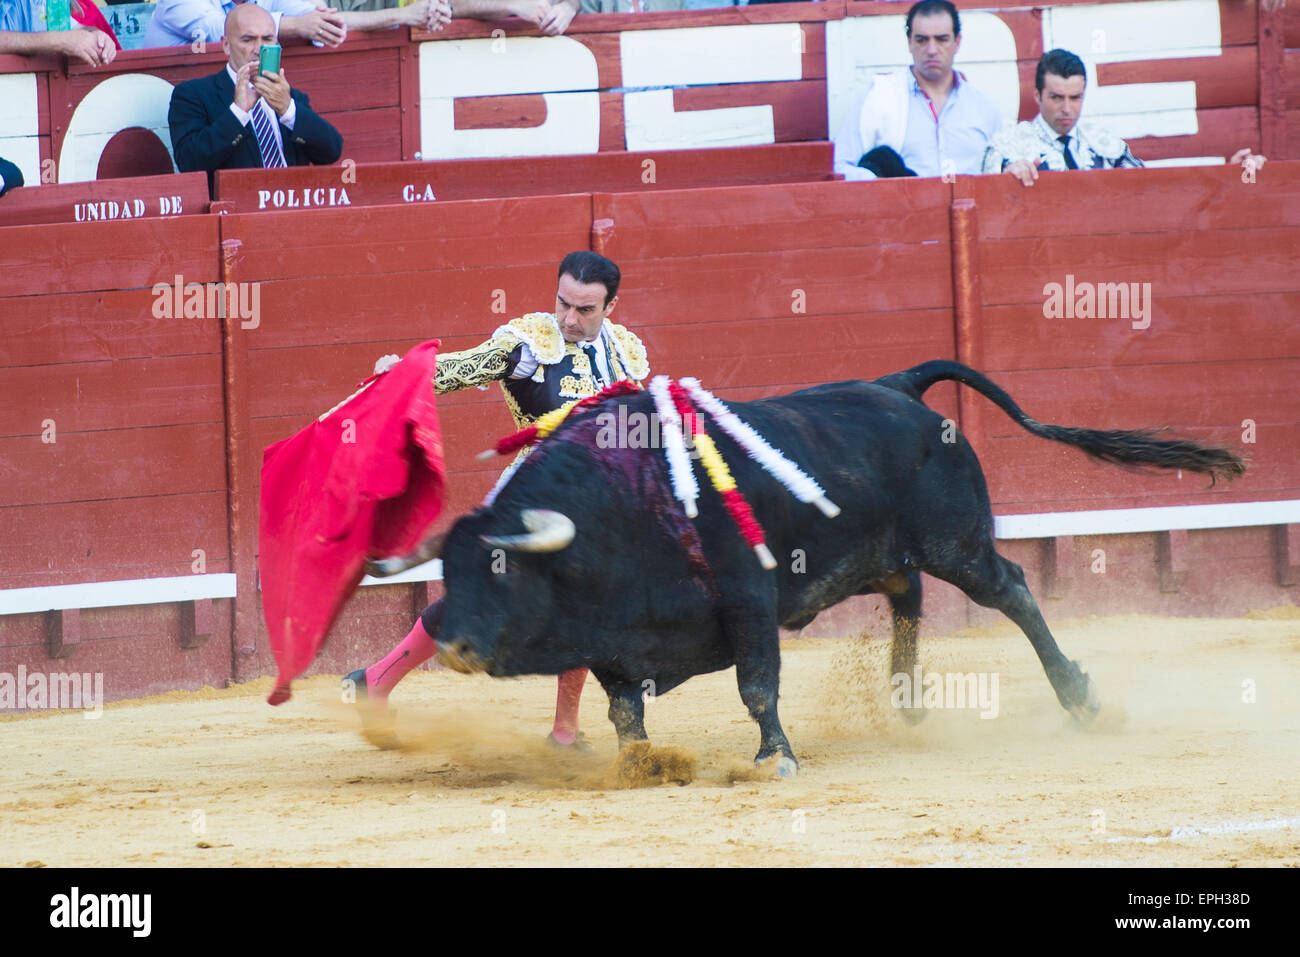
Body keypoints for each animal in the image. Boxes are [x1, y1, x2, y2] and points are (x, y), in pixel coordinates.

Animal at [371, 358, 1242, 769]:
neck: (622, 502)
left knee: (1015, 591)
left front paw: (775, 757)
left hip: (958, 543)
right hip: (889, 550)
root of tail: (901, 386)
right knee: (907, 595)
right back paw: (908, 701)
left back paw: (1080, 698)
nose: (448, 636)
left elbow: (758, 684)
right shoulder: (618, 636)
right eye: (448, 570)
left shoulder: (748, 602)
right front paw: (641, 764)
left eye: (501, 570)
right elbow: (623, 709)